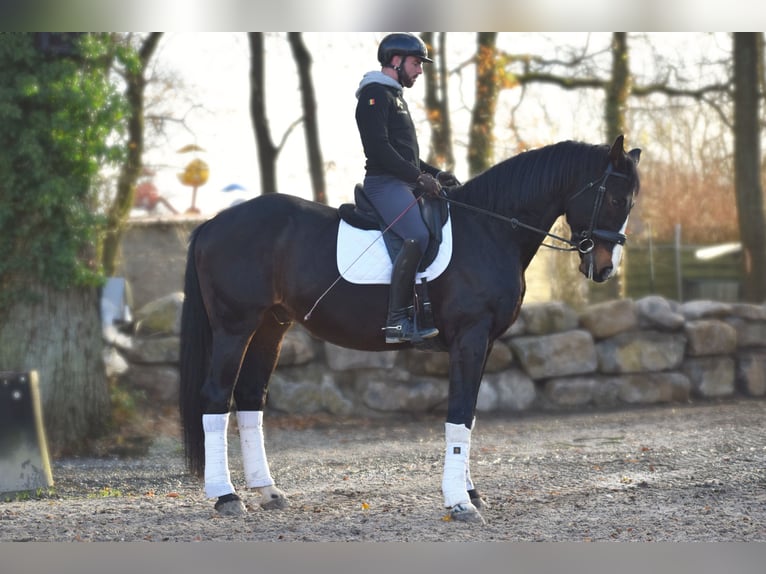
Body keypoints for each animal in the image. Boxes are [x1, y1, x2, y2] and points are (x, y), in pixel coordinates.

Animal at [178, 135, 640, 528]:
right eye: (616, 197)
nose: (604, 268)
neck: (489, 229)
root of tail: (213, 223)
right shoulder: (471, 338)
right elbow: (459, 414)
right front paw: (459, 502)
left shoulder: (483, 343)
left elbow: (469, 415)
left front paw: (469, 493)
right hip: (235, 327)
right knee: (216, 397)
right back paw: (226, 496)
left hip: (271, 326)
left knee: (250, 397)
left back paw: (268, 491)